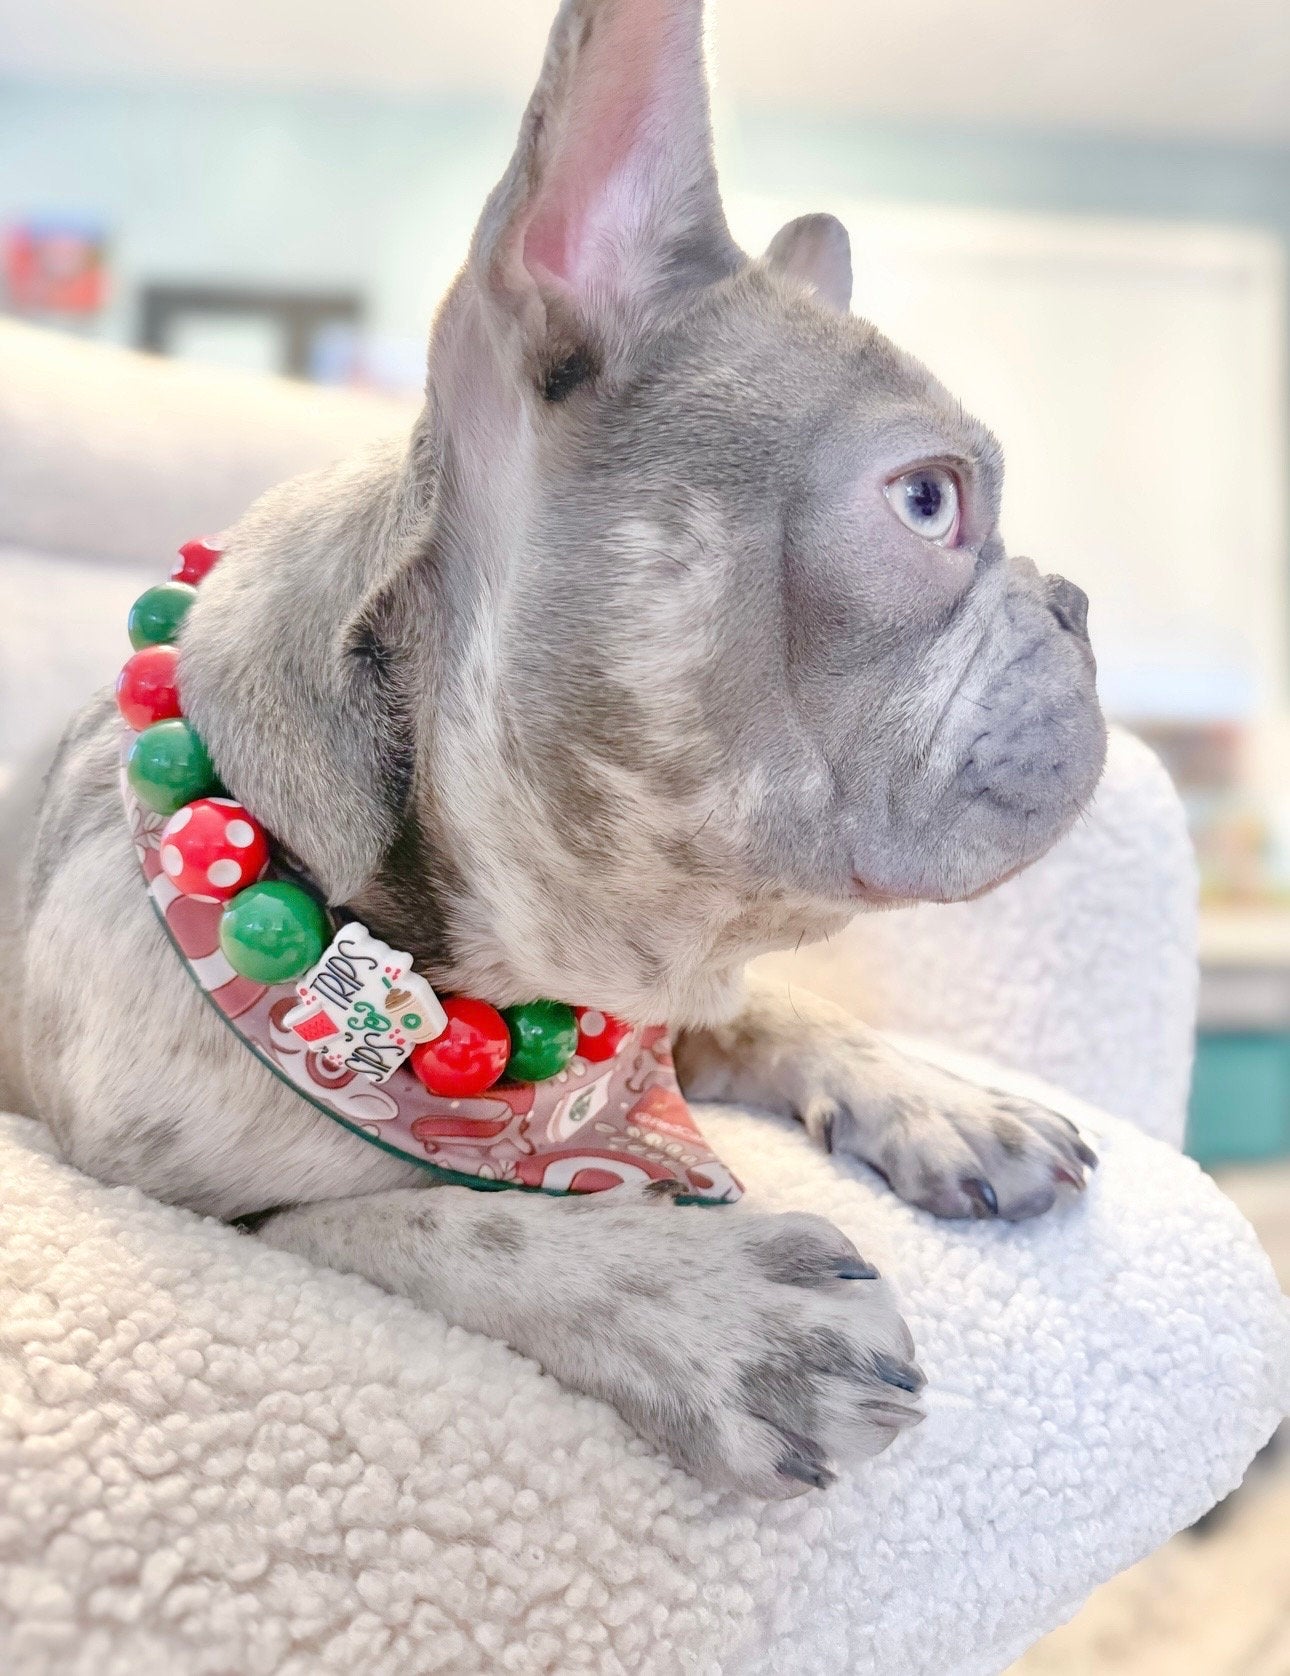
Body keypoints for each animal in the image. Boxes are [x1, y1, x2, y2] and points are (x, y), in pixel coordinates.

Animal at [2, 0, 1105, 1494]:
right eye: (928, 501)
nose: (1077, 602)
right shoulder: (190, 1198)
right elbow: (408, 1220)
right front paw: (701, 1308)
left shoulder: (682, 984)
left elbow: (779, 1008)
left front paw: (938, 1097)